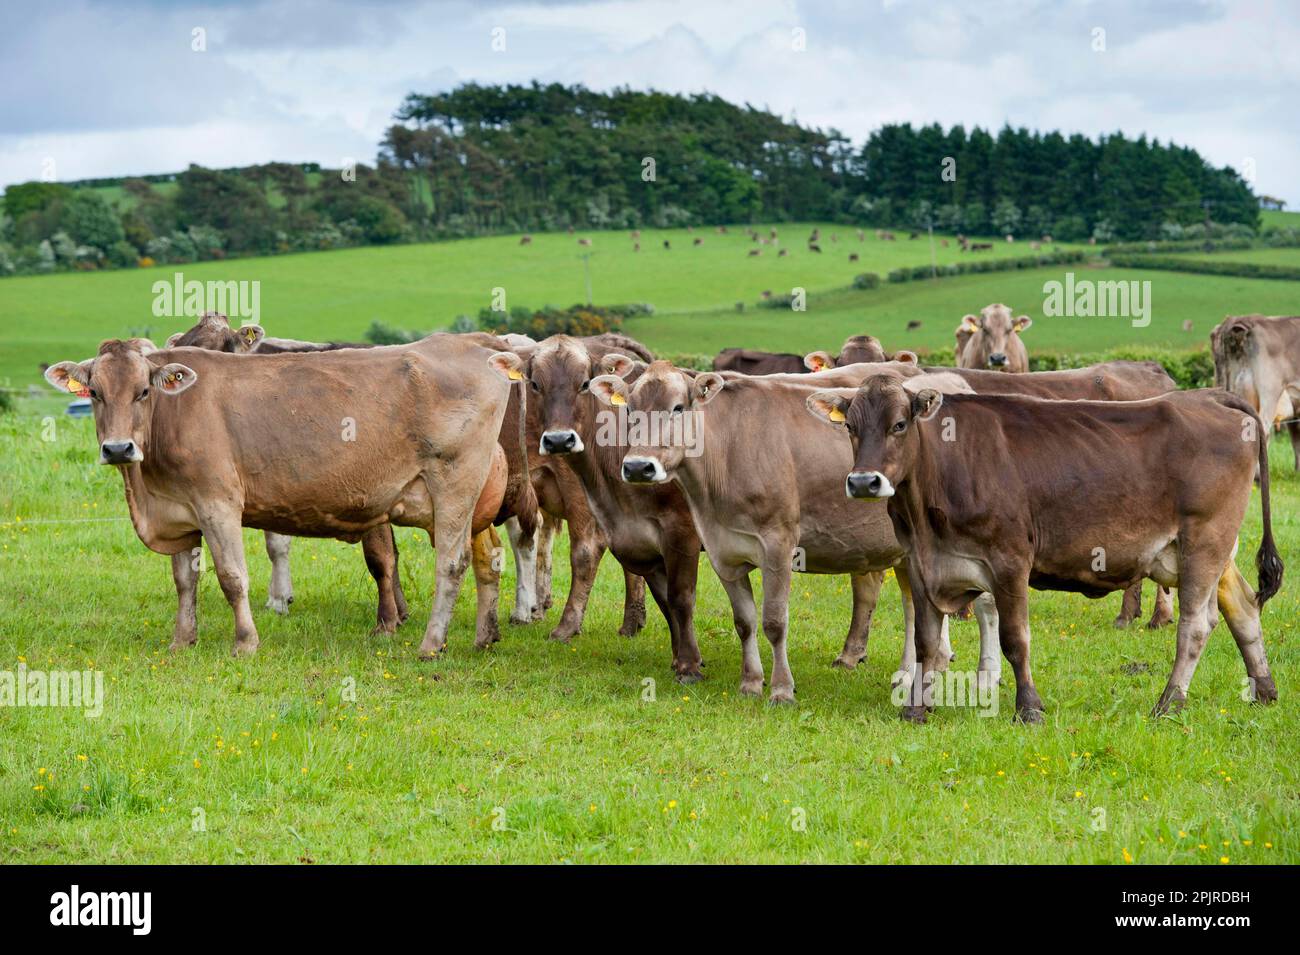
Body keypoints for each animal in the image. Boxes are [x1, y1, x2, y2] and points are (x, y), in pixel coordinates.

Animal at [48, 335, 520, 657]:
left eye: (143, 391)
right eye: (94, 393)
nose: (118, 449)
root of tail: (470, 340)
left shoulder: (218, 503)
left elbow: (232, 577)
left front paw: (245, 642)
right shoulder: (180, 510)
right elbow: (185, 581)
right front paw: (183, 640)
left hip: (454, 482)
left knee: (452, 563)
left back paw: (431, 644)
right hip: (470, 499)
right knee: (487, 557)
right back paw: (484, 636)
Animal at [811, 374, 1279, 722]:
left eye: (900, 425)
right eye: (850, 427)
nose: (863, 482)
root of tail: (1206, 396)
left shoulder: (1010, 560)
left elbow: (1015, 639)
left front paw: (1029, 708)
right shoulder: (922, 563)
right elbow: (926, 641)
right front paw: (916, 708)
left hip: (1205, 540)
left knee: (1196, 625)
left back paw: (1168, 703)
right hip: (1210, 551)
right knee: (1243, 607)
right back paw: (1264, 690)